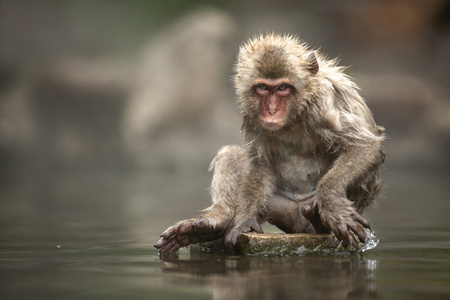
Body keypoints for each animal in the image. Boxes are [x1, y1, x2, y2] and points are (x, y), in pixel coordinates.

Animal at [155, 34, 384, 254]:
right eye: (263, 88)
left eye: (282, 88)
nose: (272, 110)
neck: (295, 114)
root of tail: (299, 225)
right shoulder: (252, 115)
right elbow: (260, 165)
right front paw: (242, 222)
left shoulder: (323, 104)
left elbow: (364, 145)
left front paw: (332, 203)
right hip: (281, 210)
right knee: (231, 153)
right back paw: (219, 220)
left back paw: (319, 222)